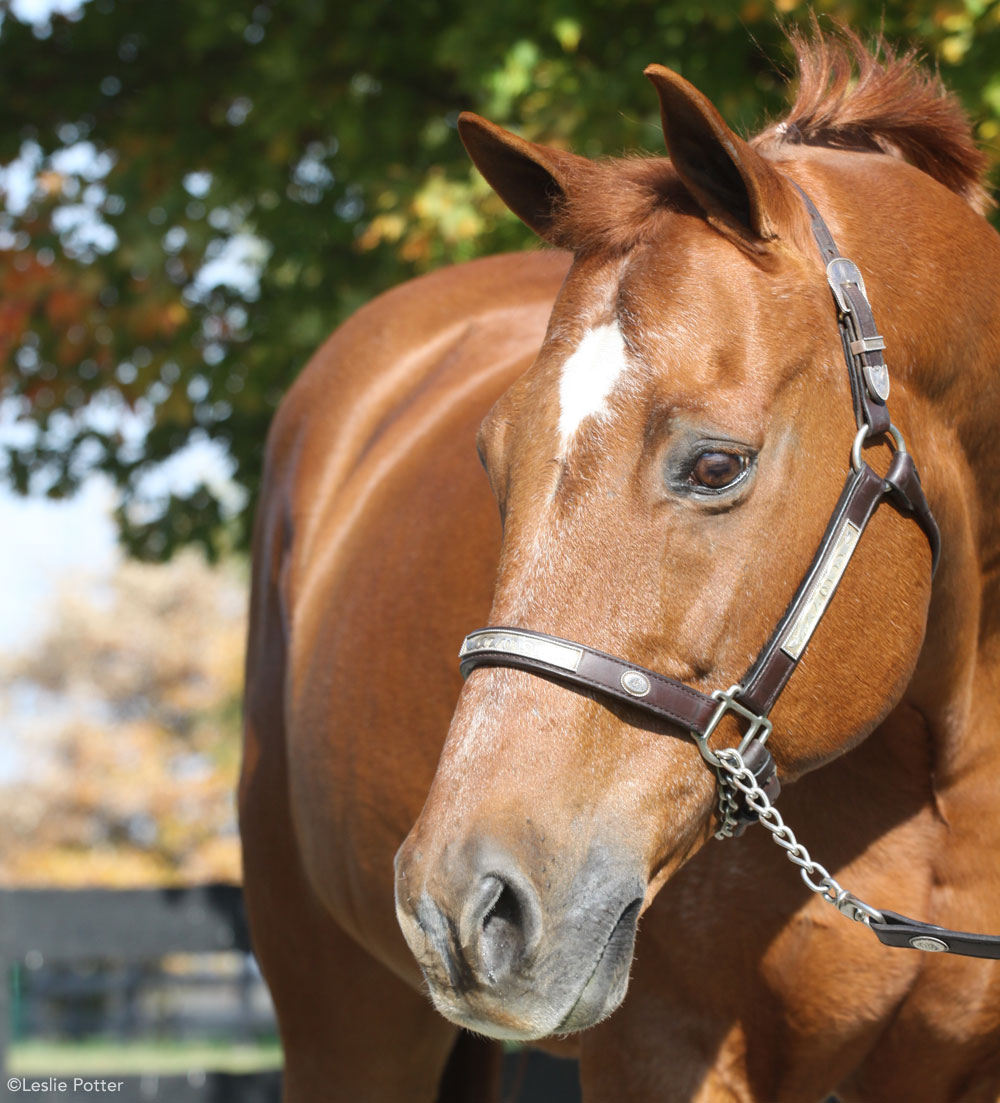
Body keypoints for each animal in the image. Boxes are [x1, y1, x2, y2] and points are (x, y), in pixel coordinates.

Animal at [242, 30, 1000, 1098]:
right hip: (345, 1017)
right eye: (492, 459)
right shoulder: (662, 1048)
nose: (462, 904)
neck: (951, 779)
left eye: (716, 464)